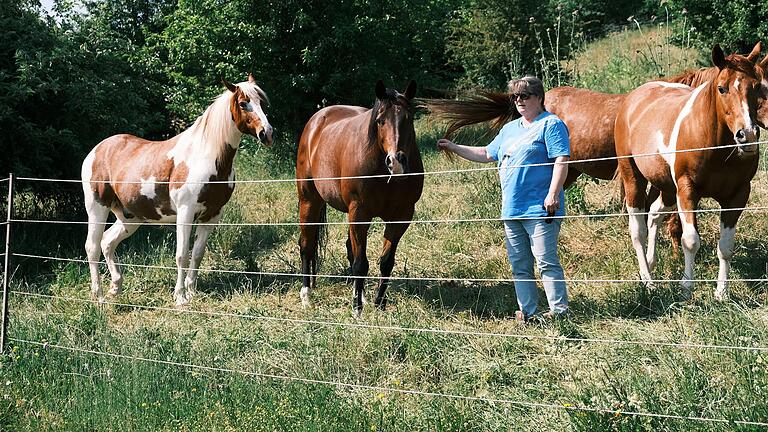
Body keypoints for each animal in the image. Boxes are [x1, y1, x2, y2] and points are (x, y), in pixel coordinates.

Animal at [80, 74, 272, 306]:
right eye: (244, 103)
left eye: (262, 102)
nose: (267, 133)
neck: (205, 156)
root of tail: (96, 150)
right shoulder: (185, 213)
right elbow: (182, 255)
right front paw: (180, 297)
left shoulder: (211, 215)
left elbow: (197, 254)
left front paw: (192, 291)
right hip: (97, 208)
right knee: (92, 247)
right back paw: (98, 297)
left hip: (130, 217)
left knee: (107, 242)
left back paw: (115, 288)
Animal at [616, 44, 764, 300]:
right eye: (722, 88)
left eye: (756, 87)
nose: (747, 135)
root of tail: (632, 99)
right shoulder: (687, 191)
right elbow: (690, 240)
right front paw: (686, 289)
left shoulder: (737, 196)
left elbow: (726, 247)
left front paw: (721, 293)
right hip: (633, 177)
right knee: (638, 231)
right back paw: (648, 281)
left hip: (666, 188)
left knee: (654, 214)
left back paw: (651, 262)